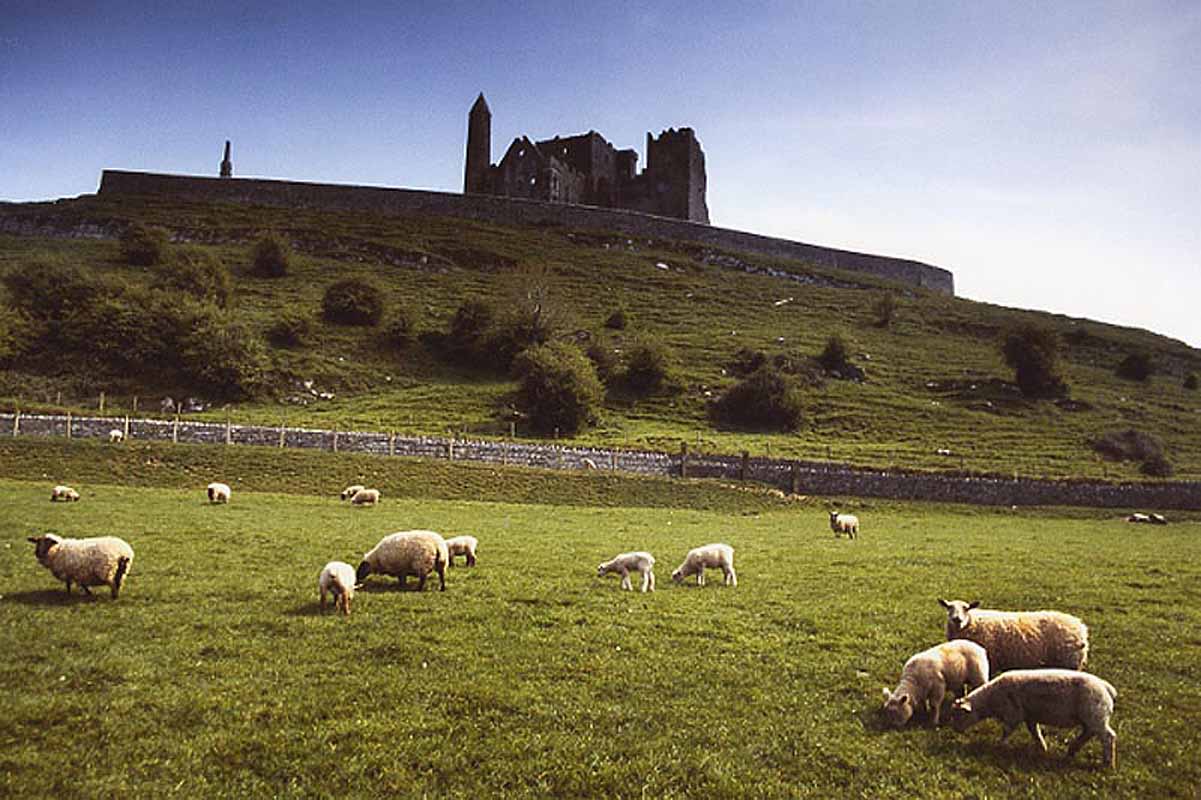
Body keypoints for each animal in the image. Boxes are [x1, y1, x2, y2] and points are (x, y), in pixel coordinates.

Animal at [936, 595, 1090, 677]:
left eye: (966, 609)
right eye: (949, 608)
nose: (957, 619)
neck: (971, 623)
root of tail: (1080, 627)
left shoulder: (989, 660)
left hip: (1069, 662)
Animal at [946, 667, 1124, 768]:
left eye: (959, 715)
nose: (955, 729)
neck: (990, 699)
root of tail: (1107, 688)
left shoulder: (1013, 714)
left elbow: (1006, 731)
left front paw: (998, 746)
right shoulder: (1029, 716)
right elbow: (1035, 733)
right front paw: (1042, 748)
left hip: (1095, 714)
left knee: (1108, 737)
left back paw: (1108, 764)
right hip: (1092, 717)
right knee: (1088, 733)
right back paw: (1071, 751)